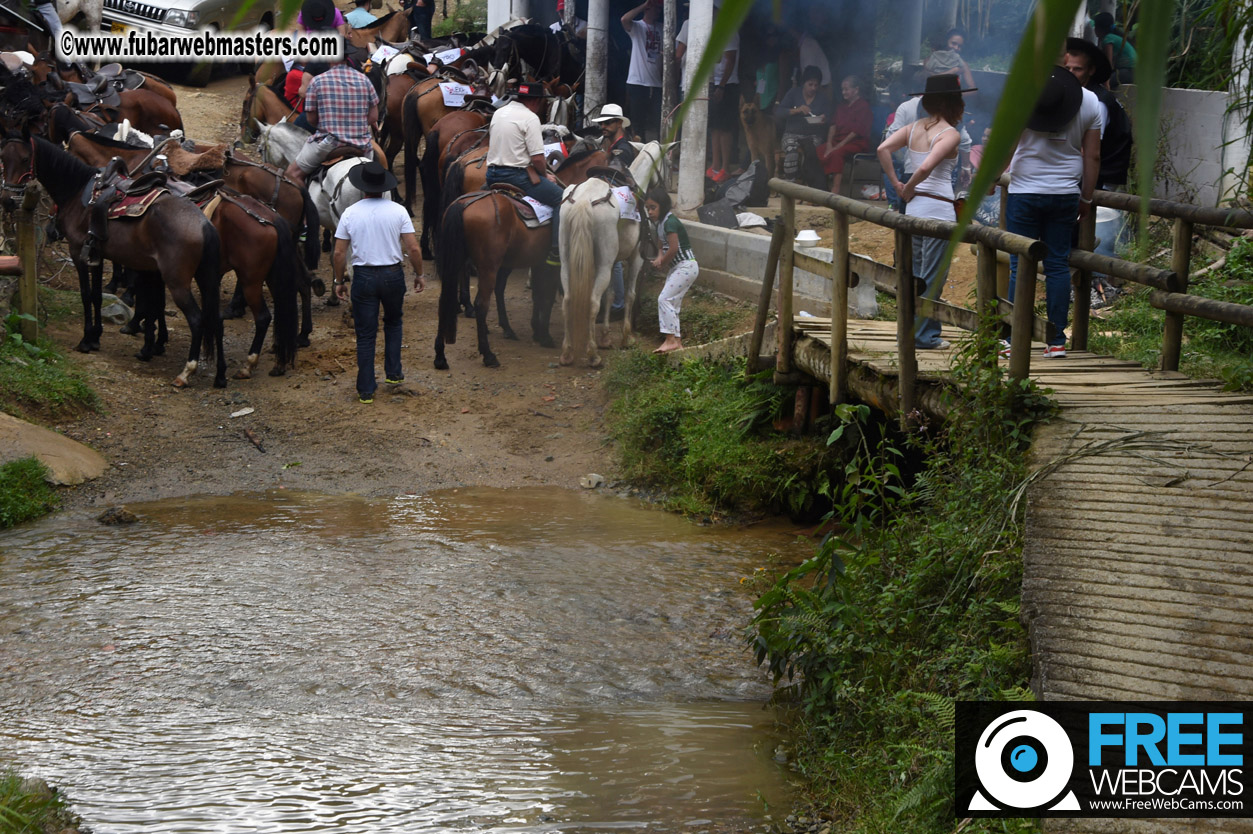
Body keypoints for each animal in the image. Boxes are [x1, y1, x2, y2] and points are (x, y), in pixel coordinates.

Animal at [1, 133, 225, 385]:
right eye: (3, 157)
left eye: (25, 158)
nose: (7, 200)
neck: (78, 190)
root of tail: (204, 223)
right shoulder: (97, 255)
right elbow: (98, 296)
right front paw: (96, 336)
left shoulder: (78, 253)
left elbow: (86, 295)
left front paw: (86, 340)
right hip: (206, 277)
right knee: (215, 319)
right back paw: (220, 376)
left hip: (177, 281)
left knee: (196, 319)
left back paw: (186, 371)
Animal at [433, 147, 613, 368]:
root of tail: (463, 204)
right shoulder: (553, 265)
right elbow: (547, 295)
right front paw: (544, 335)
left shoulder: (537, 261)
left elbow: (537, 294)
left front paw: (536, 329)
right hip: (488, 267)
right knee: (482, 303)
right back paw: (488, 354)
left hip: (461, 260)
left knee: (447, 299)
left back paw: (441, 355)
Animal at [561, 141, 671, 365]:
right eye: (669, 163)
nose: (669, 188)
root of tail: (584, 201)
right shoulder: (636, 258)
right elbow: (629, 294)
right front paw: (627, 337)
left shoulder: (614, 262)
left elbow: (611, 295)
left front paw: (605, 337)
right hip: (602, 265)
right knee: (593, 302)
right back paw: (593, 354)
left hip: (567, 261)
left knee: (567, 300)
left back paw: (567, 353)